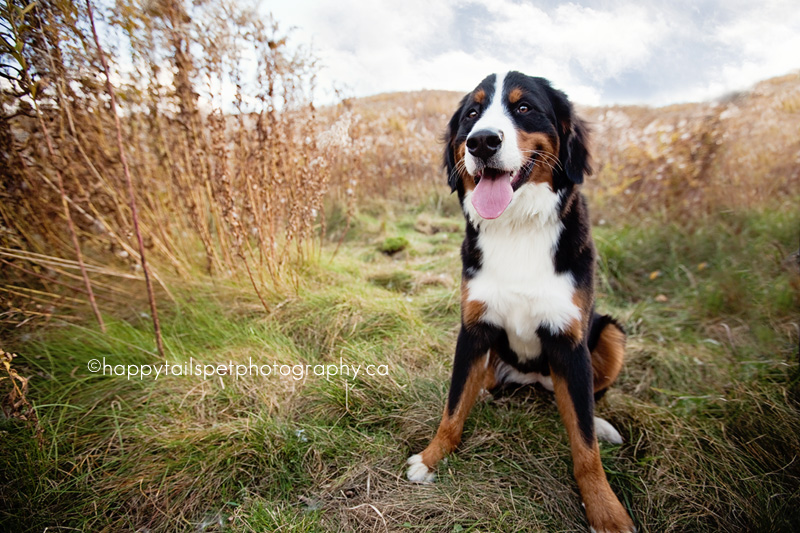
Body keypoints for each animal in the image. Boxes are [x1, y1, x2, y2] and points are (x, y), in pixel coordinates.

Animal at [410, 71, 636, 532]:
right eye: (472, 114)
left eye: (524, 107)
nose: (481, 142)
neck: (516, 226)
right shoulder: (473, 329)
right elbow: (452, 407)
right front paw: (431, 458)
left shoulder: (569, 339)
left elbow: (584, 443)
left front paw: (605, 509)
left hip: (609, 333)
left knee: (584, 401)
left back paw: (602, 424)